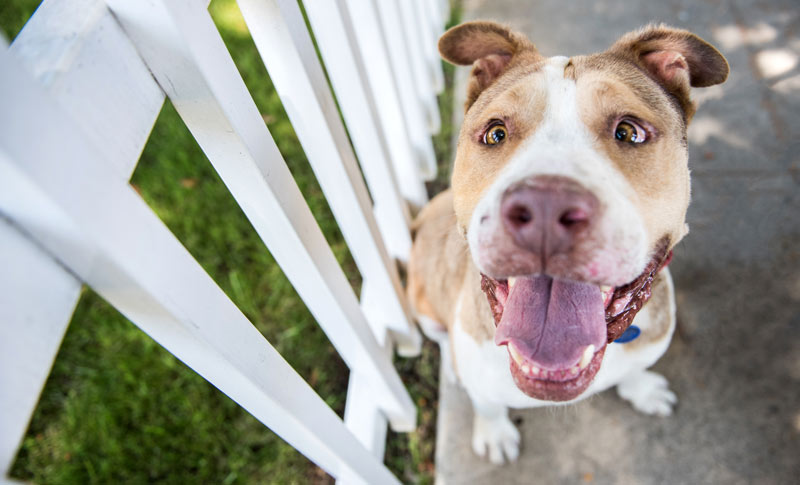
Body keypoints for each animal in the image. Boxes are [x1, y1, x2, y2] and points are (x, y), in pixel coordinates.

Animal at [410, 20, 728, 464]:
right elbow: (487, 404)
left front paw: (643, 390)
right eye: (495, 133)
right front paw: (494, 433)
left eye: (629, 132)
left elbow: (635, 370)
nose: (545, 207)